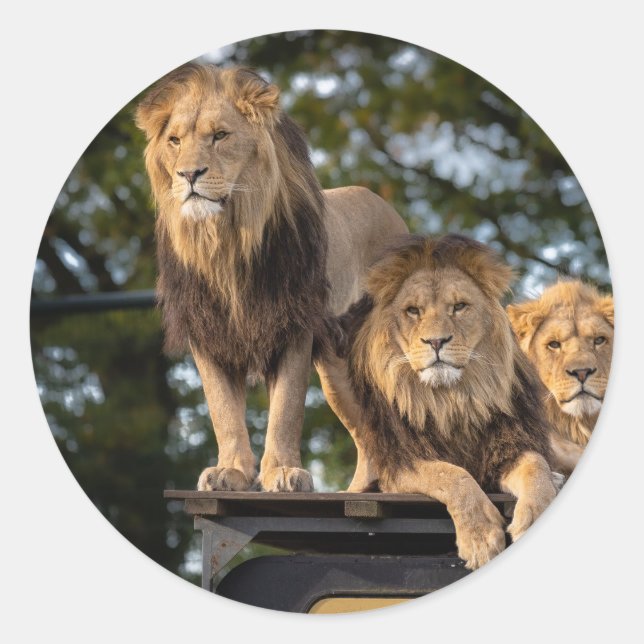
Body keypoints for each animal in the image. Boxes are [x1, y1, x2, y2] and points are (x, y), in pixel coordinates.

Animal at [135, 63, 407, 492]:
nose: (188, 174)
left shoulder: (293, 325)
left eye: (220, 135)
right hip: (337, 370)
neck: (226, 243)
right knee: (368, 435)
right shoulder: (207, 331)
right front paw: (230, 471)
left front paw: (282, 472)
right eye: (175, 141)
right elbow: (222, 410)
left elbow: (286, 408)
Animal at [333, 234, 558, 569]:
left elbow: (536, 466)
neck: (451, 402)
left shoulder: (507, 448)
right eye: (413, 311)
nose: (436, 341)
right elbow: (452, 475)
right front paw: (479, 536)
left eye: (459, 307)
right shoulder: (398, 464)